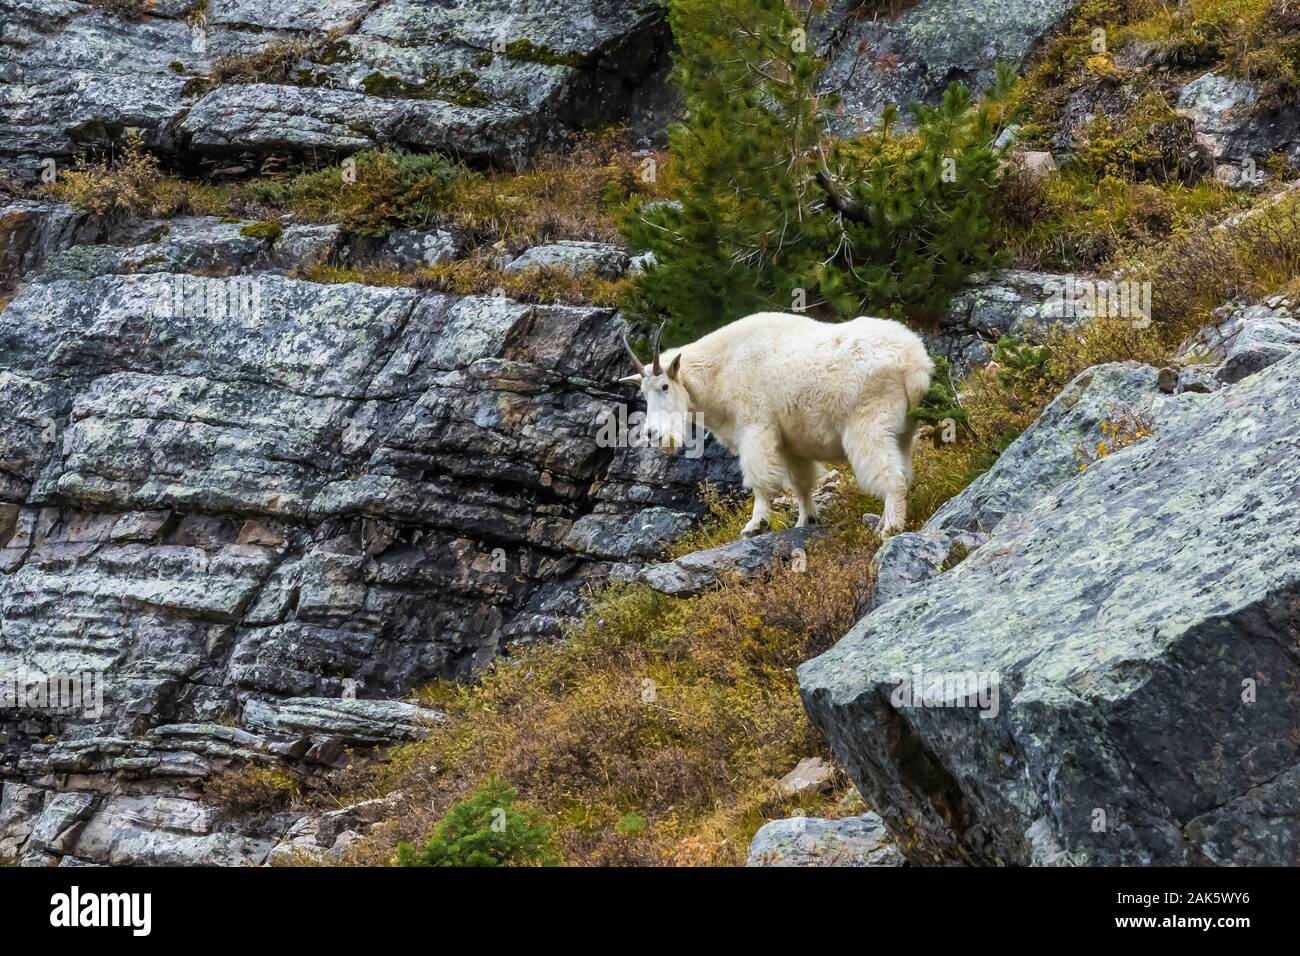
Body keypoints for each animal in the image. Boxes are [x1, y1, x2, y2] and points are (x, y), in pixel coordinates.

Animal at [621, 312, 935, 538]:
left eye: (664, 386)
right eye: (643, 392)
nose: (652, 434)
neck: (721, 370)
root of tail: (916, 364)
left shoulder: (756, 429)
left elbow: (760, 479)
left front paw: (755, 524)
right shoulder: (791, 443)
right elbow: (801, 482)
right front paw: (806, 520)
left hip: (869, 423)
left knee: (891, 476)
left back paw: (890, 528)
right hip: (903, 432)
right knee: (904, 471)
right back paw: (884, 521)